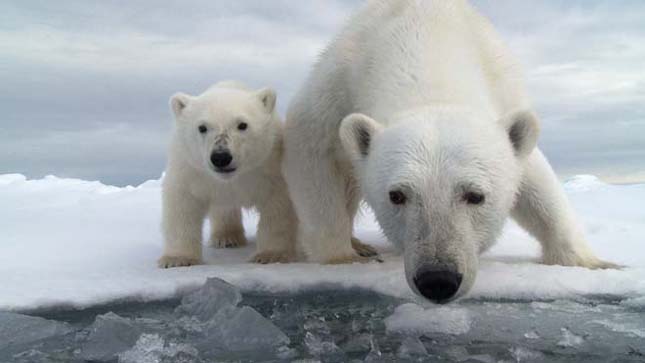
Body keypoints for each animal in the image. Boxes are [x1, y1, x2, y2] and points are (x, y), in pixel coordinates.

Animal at [286, 0, 612, 302]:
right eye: (397, 195)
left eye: (476, 195)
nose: (438, 280)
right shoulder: (337, 87)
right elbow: (313, 154)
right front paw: (342, 258)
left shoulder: (503, 93)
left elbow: (537, 182)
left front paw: (593, 263)